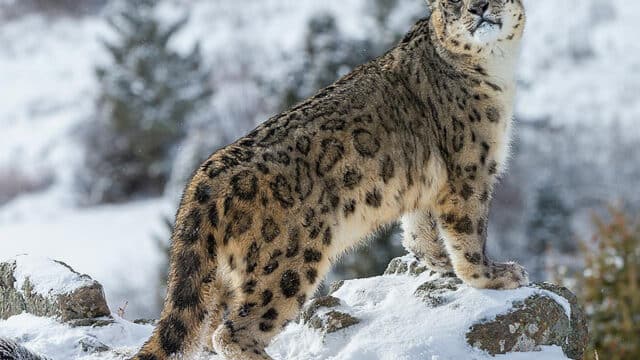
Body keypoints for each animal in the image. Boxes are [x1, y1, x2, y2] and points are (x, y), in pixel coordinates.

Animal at [132, 0, 528, 358]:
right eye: (454, 2)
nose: (479, 7)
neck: (498, 68)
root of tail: (204, 177)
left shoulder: (427, 187)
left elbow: (419, 232)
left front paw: (439, 264)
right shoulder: (469, 173)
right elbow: (469, 233)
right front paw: (494, 276)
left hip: (220, 280)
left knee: (206, 329)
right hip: (287, 263)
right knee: (232, 331)